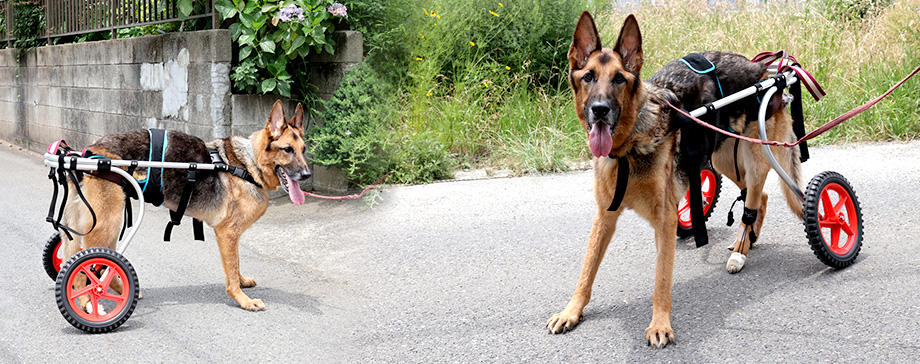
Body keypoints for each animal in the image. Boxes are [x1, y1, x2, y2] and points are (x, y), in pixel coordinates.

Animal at [62, 101, 312, 312]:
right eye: (287, 149)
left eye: (304, 149)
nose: (307, 175)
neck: (248, 165)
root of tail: (86, 152)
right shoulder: (227, 233)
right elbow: (231, 272)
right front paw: (243, 300)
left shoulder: (231, 237)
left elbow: (235, 265)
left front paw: (242, 282)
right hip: (107, 224)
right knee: (85, 267)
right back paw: (87, 302)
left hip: (104, 226)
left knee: (93, 262)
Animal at [548, 12, 804, 346]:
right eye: (589, 77)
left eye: (619, 79)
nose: (599, 110)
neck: (630, 145)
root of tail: (763, 68)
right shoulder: (604, 217)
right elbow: (586, 271)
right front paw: (571, 312)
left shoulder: (665, 220)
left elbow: (661, 280)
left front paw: (659, 325)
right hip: (723, 159)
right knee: (759, 196)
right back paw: (747, 243)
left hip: (753, 155)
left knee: (753, 199)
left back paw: (740, 252)